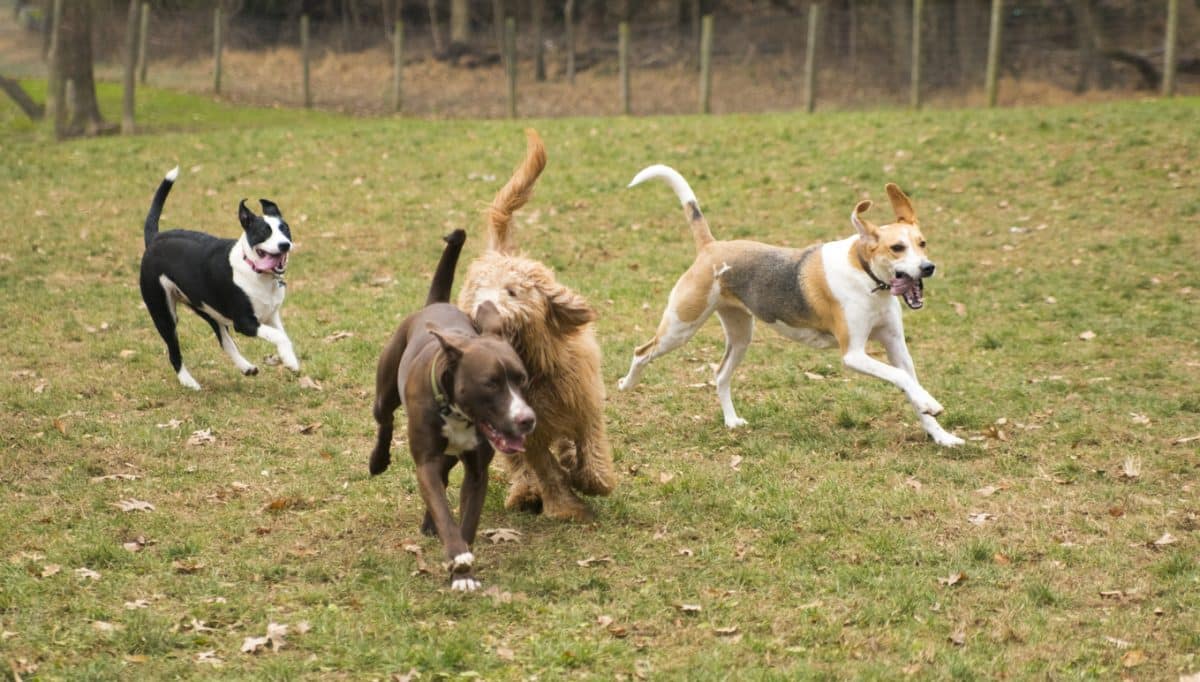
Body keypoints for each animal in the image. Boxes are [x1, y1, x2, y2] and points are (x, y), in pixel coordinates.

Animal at [138, 166, 300, 389]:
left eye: (285, 229)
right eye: (263, 232)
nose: (284, 245)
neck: (254, 270)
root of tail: (154, 239)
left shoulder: (271, 314)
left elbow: (283, 335)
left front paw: (287, 359)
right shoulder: (245, 322)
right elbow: (278, 336)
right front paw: (288, 361)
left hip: (206, 308)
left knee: (224, 340)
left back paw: (246, 367)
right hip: (163, 312)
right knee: (173, 351)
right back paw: (189, 382)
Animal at [367, 230, 532, 590]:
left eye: (522, 379)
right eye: (490, 384)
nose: (527, 420)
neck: (457, 412)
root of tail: (435, 304)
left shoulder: (477, 471)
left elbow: (466, 519)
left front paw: (463, 572)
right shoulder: (425, 461)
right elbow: (445, 511)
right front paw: (458, 558)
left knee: (444, 471)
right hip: (385, 393)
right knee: (385, 421)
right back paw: (378, 460)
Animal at [453, 129, 614, 521]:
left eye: (512, 291)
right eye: (476, 291)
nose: (482, 309)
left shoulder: (584, 401)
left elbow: (590, 448)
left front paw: (591, 479)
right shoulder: (525, 432)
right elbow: (544, 467)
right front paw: (565, 505)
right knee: (521, 466)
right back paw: (525, 492)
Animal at [619, 165, 964, 446]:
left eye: (922, 243)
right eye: (897, 248)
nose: (928, 267)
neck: (865, 274)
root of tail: (711, 247)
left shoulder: (896, 347)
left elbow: (910, 384)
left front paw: (940, 434)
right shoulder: (853, 354)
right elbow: (901, 379)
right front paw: (931, 405)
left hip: (741, 335)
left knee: (720, 374)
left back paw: (731, 421)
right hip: (681, 327)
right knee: (641, 352)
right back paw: (626, 384)